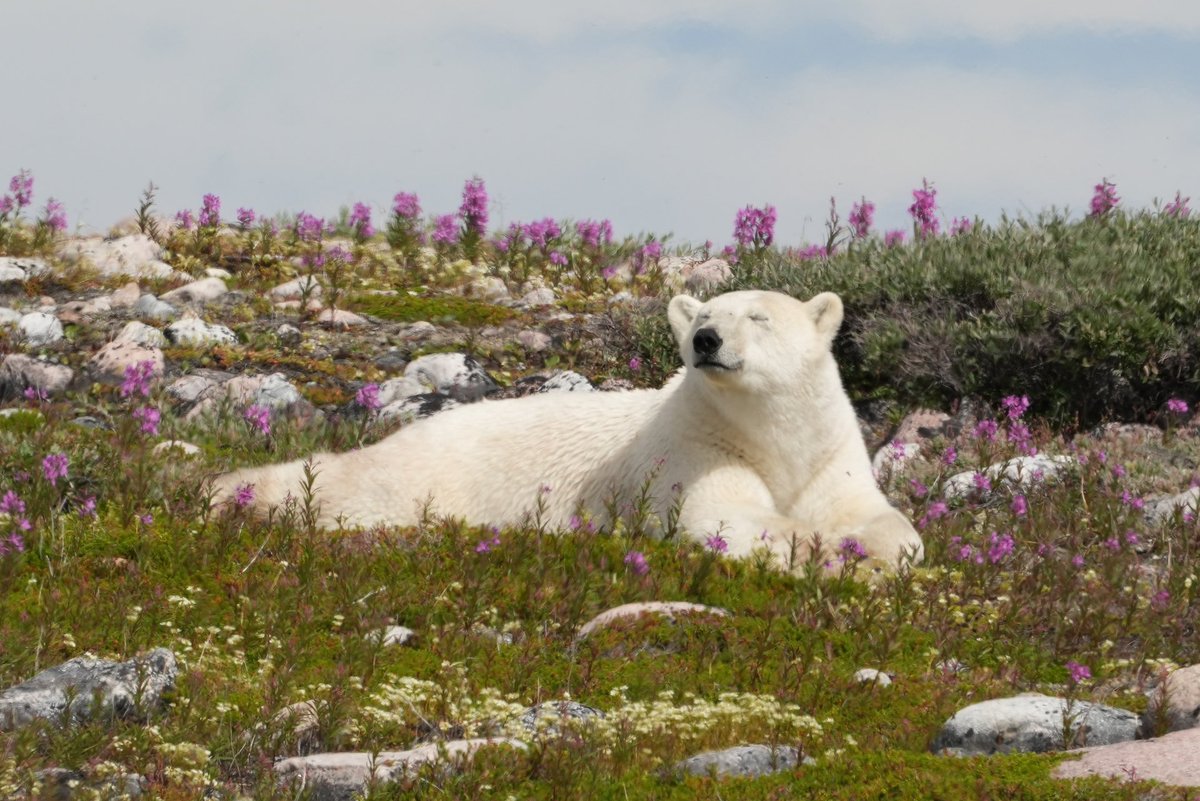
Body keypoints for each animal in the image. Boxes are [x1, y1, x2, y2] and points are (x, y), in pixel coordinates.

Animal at [212, 290, 923, 570]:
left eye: (758, 316)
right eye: (706, 314)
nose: (706, 340)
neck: (768, 434)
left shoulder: (831, 451)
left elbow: (883, 518)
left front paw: (871, 550)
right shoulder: (693, 448)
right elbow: (724, 517)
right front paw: (823, 553)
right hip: (429, 476)